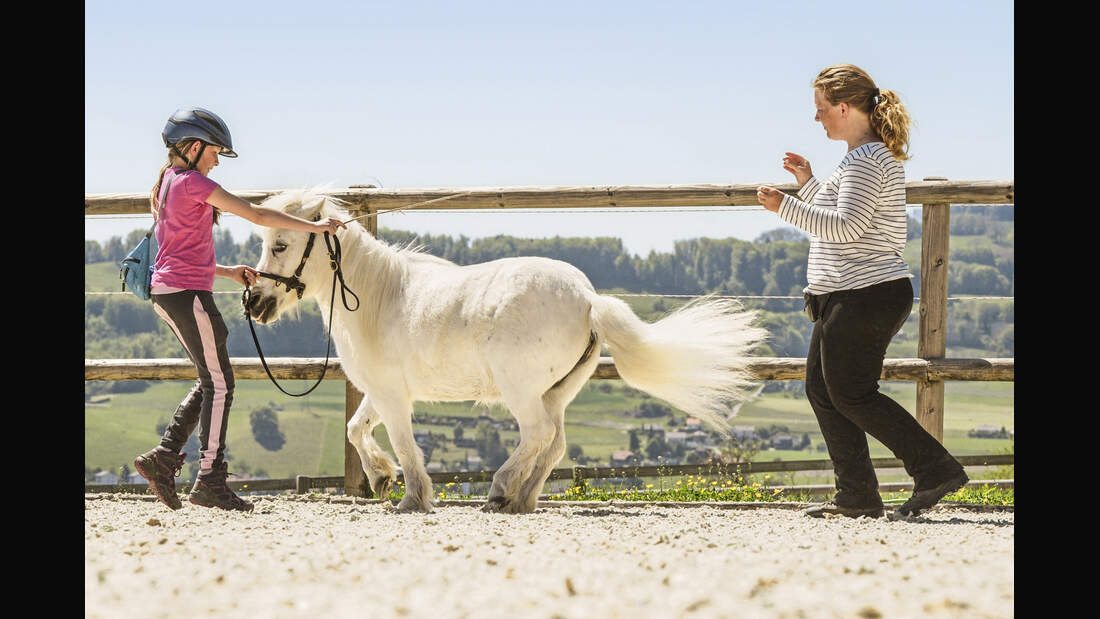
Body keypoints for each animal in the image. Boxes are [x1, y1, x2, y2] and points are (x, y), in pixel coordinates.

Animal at [245, 190, 770, 514]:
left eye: (282, 243)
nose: (254, 303)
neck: (378, 298)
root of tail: (588, 298)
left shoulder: (393, 396)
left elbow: (404, 445)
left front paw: (411, 496)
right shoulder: (383, 390)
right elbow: (357, 428)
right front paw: (380, 479)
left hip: (522, 391)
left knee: (538, 435)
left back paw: (500, 492)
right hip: (556, 392)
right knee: (553, 443)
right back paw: (522, 499)